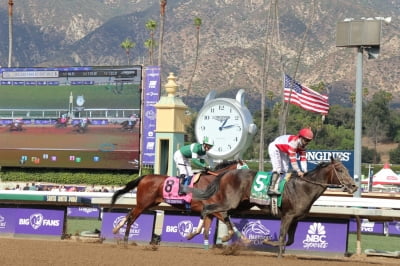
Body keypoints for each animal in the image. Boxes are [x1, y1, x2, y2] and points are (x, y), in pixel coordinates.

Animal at [110, 159, 247, 246]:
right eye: (245, 170)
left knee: (130, 213)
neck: (213, 183)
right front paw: (227, 237)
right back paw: (125, 241)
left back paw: (117, 229)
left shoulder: (211, 210)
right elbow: (225, 219)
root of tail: (145, 177)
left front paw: (244, 239)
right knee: (131, 218)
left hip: (149, 203)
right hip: (143, 203)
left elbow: (213, 226)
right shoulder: (210, 208)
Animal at [192, 158, 358, 258]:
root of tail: (226, 172)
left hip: (241, 204)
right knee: (208, 209)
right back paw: (195, 232)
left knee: (223, 213)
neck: (304, 187)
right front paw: (273, 248)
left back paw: (226, 236)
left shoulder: (295, 218)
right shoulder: (287, 215)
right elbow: (283, 236)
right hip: (231, 201)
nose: (354, 186)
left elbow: (290, 240)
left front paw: (274, 246)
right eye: (340, 170)